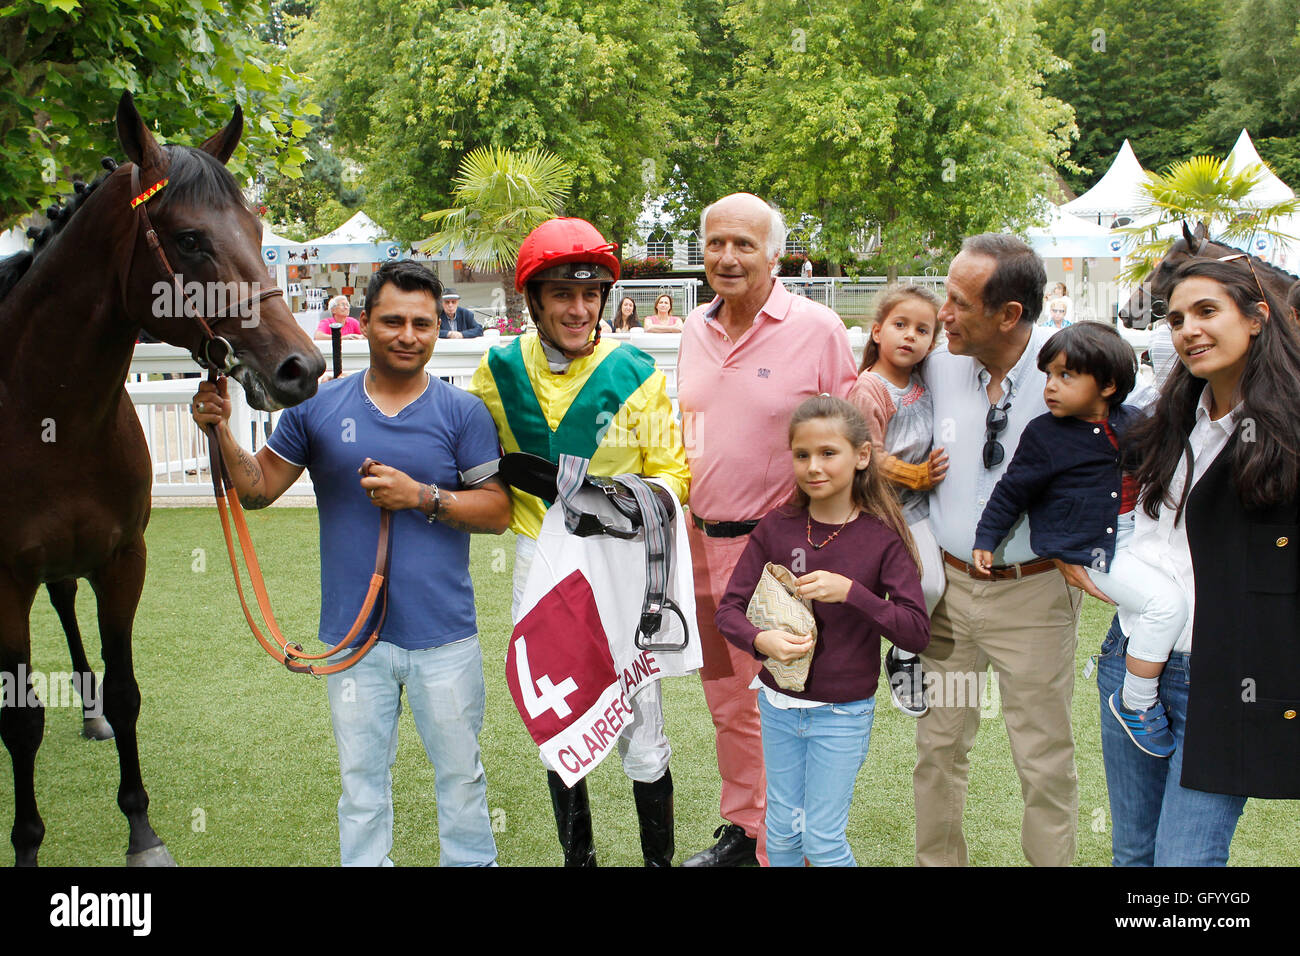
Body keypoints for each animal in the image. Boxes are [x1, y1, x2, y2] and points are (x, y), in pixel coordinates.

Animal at [0, 93, 325, 863]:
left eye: (258, 228)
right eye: (189, 239)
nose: (301, 368)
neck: (45, 414)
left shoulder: (122, 558)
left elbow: (126, 692)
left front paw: (142, 831)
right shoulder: (5, 579)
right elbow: (20, 721)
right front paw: (27, 842)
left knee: (66, 607)